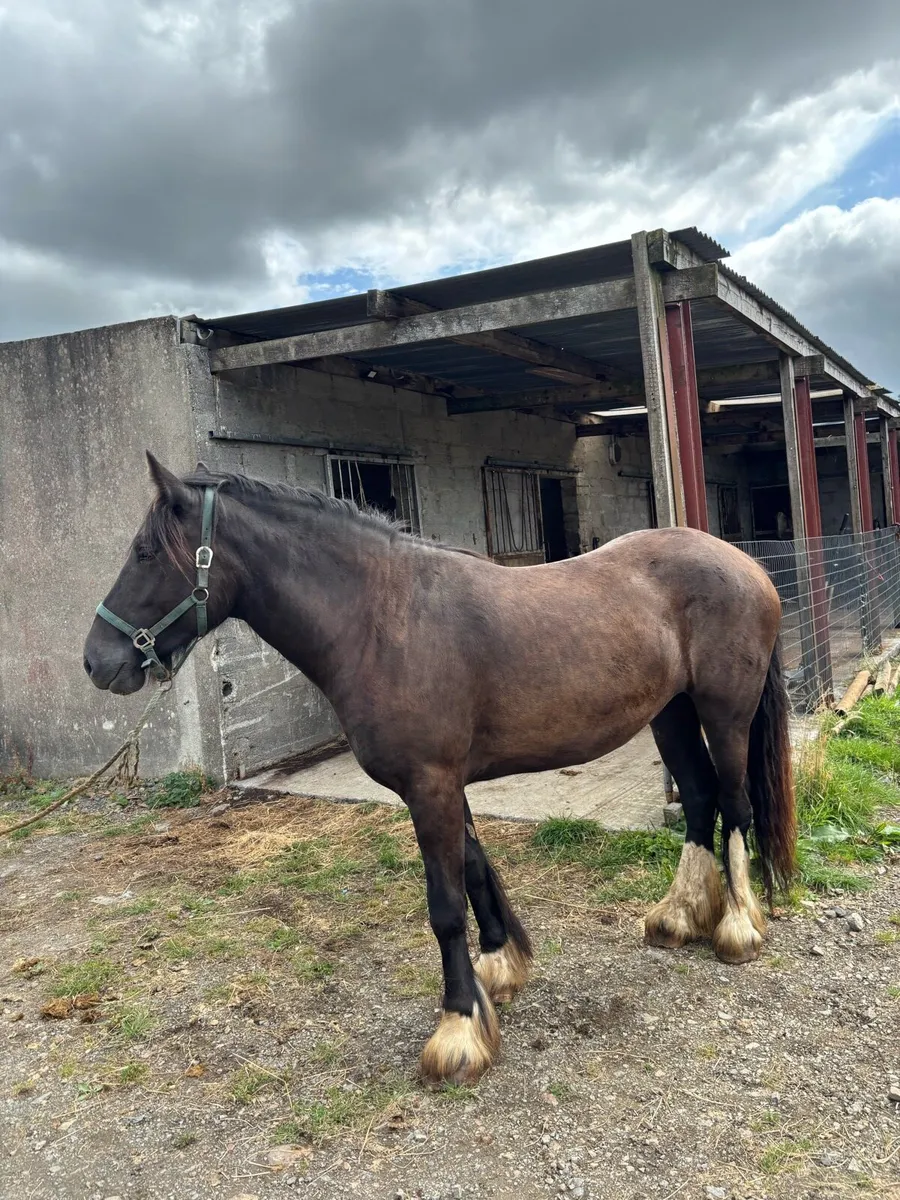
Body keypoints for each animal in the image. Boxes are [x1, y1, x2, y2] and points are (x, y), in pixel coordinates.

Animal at [83, 453, 796, 1086]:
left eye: (146, 553)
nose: (97, 660)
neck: (381, 618)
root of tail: (748, 565)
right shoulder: (447, 784)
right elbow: (474, 870)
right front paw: (499, 971)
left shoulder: (429, 786)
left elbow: (445, 905)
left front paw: (457, 1033)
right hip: (670, 714)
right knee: (699, 799)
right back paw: (677, 917)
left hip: (724, 714)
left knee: (735, 805)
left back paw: (738, 927)